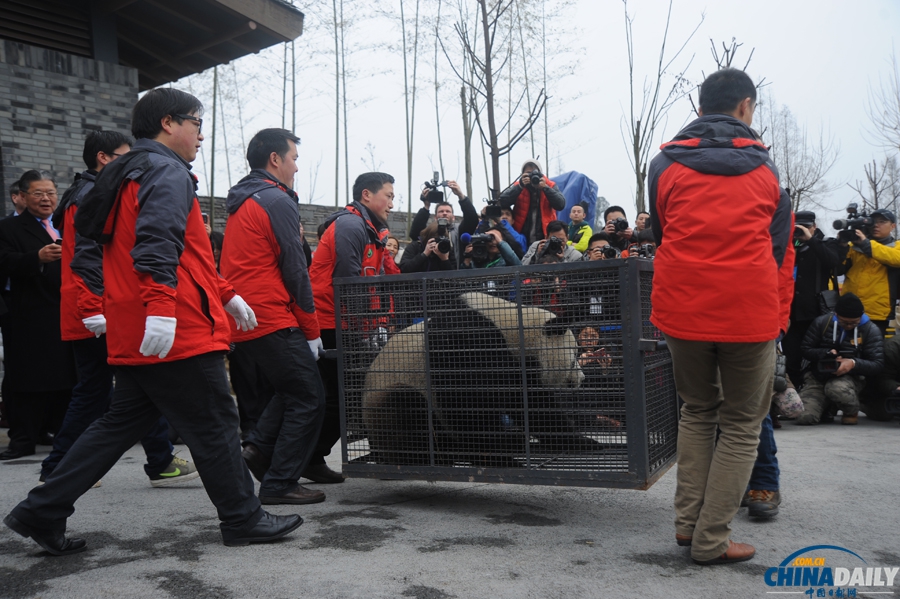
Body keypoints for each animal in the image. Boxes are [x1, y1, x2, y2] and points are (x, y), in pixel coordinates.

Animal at [360, 290, 604, 468]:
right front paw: (495, 452)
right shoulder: (465, 342)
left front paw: (584, 442)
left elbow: (532, 406)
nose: (582, 378)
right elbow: (469, 403)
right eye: (574, 356)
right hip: (388, 397)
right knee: (407, 409)